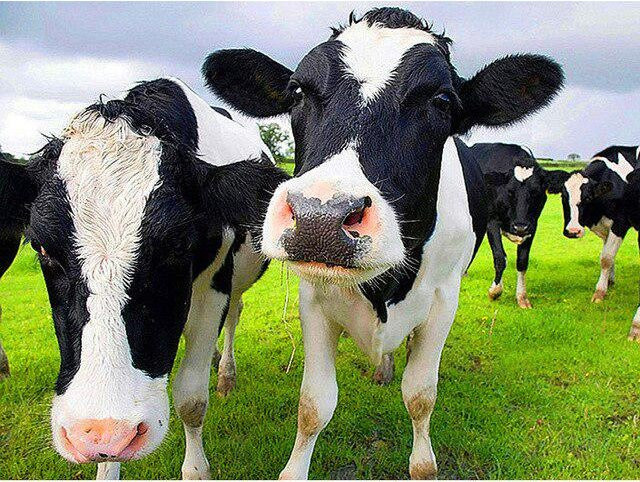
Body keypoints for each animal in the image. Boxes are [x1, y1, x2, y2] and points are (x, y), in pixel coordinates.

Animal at [0, 77, 288, 479]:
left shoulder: (215, 287)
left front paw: (196, 469)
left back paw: (226, 373)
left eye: (177, 243)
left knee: (235, 313)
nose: (103, 432)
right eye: (42, 247)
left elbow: (191, 399)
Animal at [471, 143, 569, 308]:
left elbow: (522, 261)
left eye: (536, 191)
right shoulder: (492, 221)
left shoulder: (532, 226)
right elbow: (500, 258)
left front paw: (522, 297)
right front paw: (495, 291)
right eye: (510, 191)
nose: (520, 227)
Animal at [554, 146, 639, 303]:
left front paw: (600, 292)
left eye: (588, 198)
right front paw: (609, 282)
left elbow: (606, 257)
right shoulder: (605, 227)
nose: (573, 231)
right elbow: (609, 254)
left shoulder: (620, 224)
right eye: (563, 196)